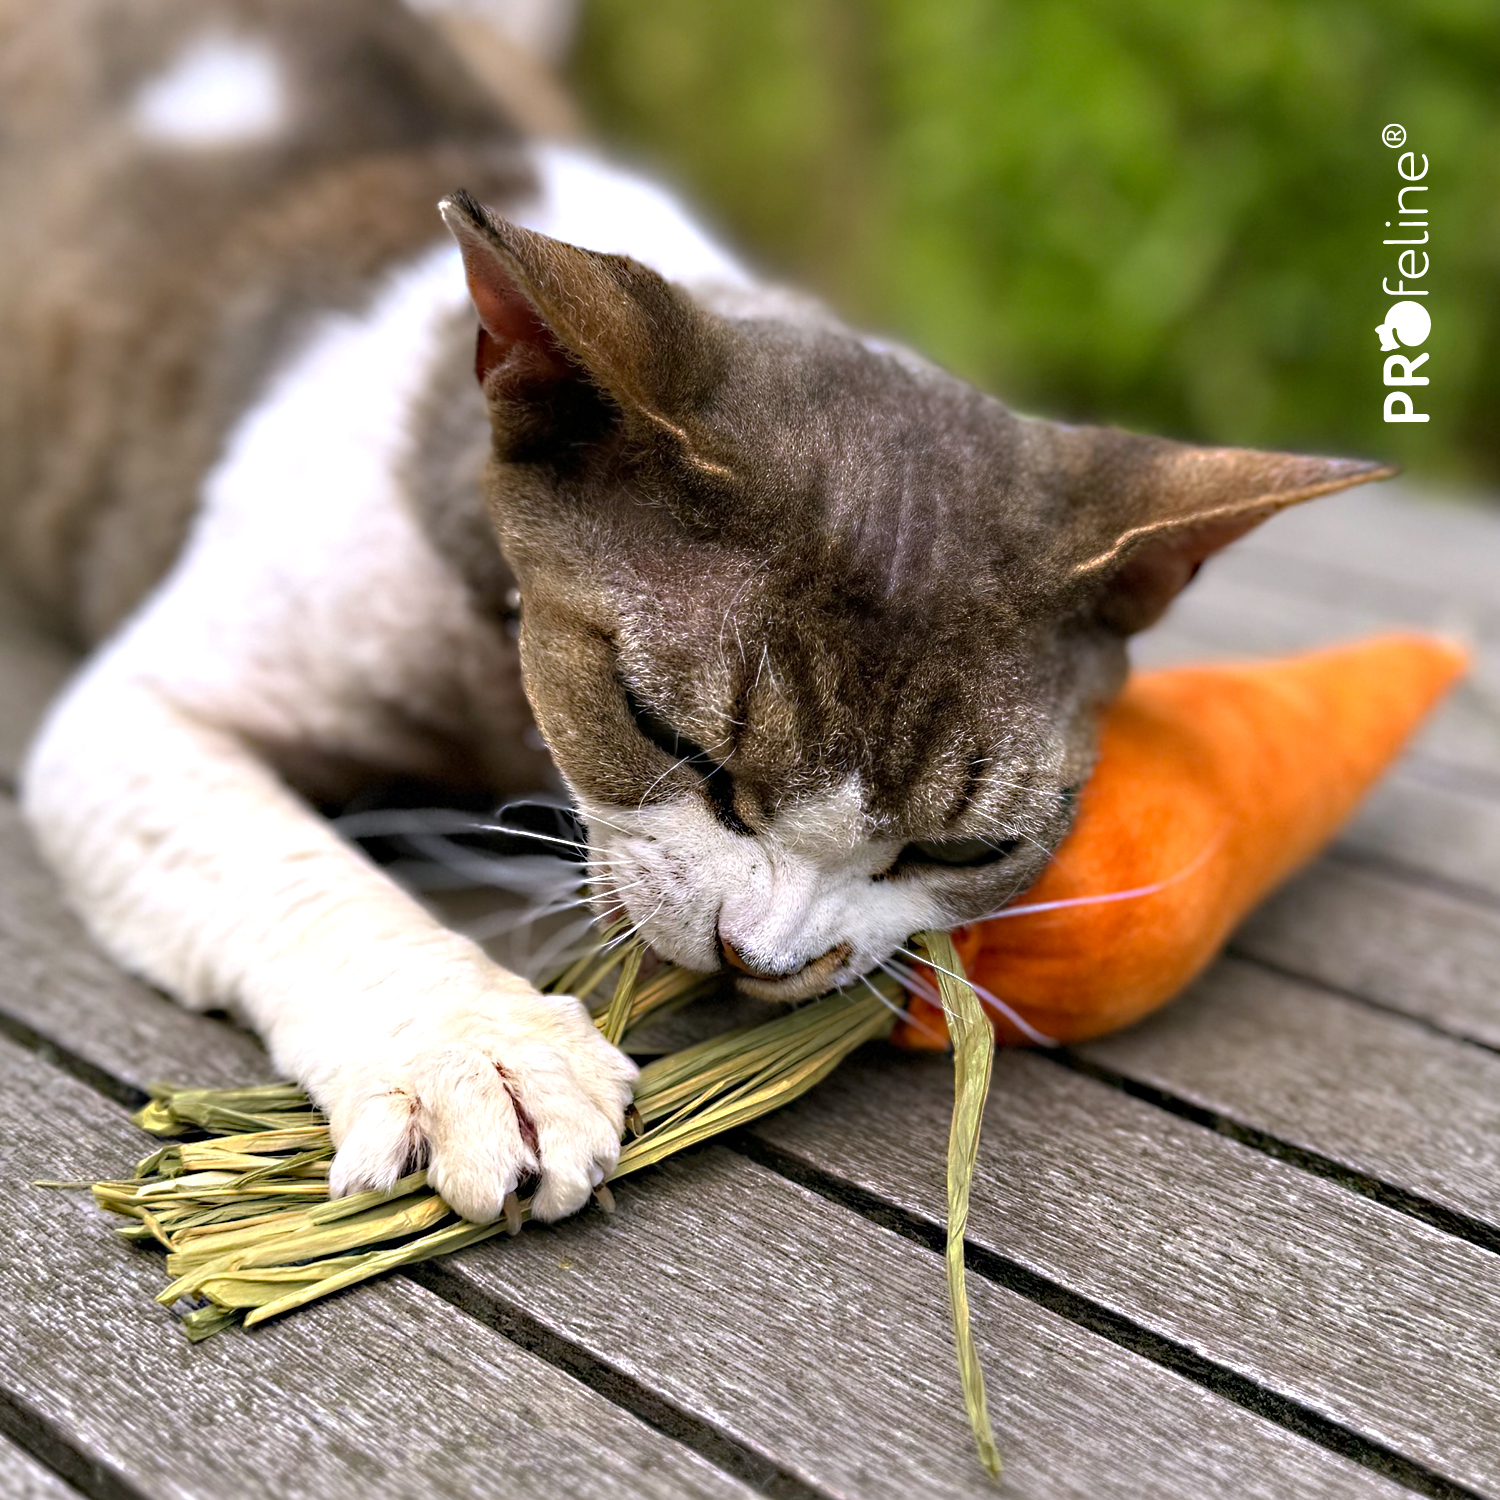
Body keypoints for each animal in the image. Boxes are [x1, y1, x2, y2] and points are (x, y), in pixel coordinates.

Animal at [0, 0, 1386, 1224]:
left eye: (959, 852)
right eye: (670, 738)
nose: (764, 960)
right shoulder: (135, 717)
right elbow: (305, 874)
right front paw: (482, 1053)